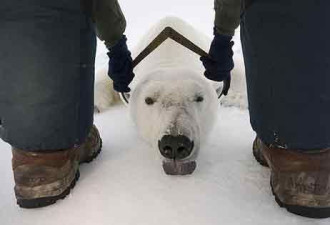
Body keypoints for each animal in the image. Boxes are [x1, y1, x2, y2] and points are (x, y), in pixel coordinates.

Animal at [94, 17, 246, 175]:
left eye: (199, 97)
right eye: (149, 99)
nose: (174, 144)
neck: (170, 54)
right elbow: (110, 76)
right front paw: (95, 106)